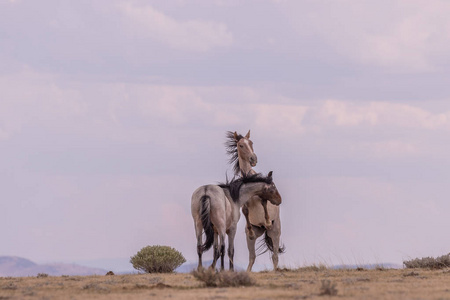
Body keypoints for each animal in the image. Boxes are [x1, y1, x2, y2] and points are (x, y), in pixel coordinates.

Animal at [225, 130, 284, 270]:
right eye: (241, 145)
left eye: (251, 143)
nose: (253, 159)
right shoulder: (244, 205)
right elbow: (245, 211)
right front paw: (251, 231)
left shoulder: (264, 196)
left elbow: (264, 203)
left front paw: (267, 221)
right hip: (253, 237)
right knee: (252, 257)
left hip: (275, 233)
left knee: (275, 256)